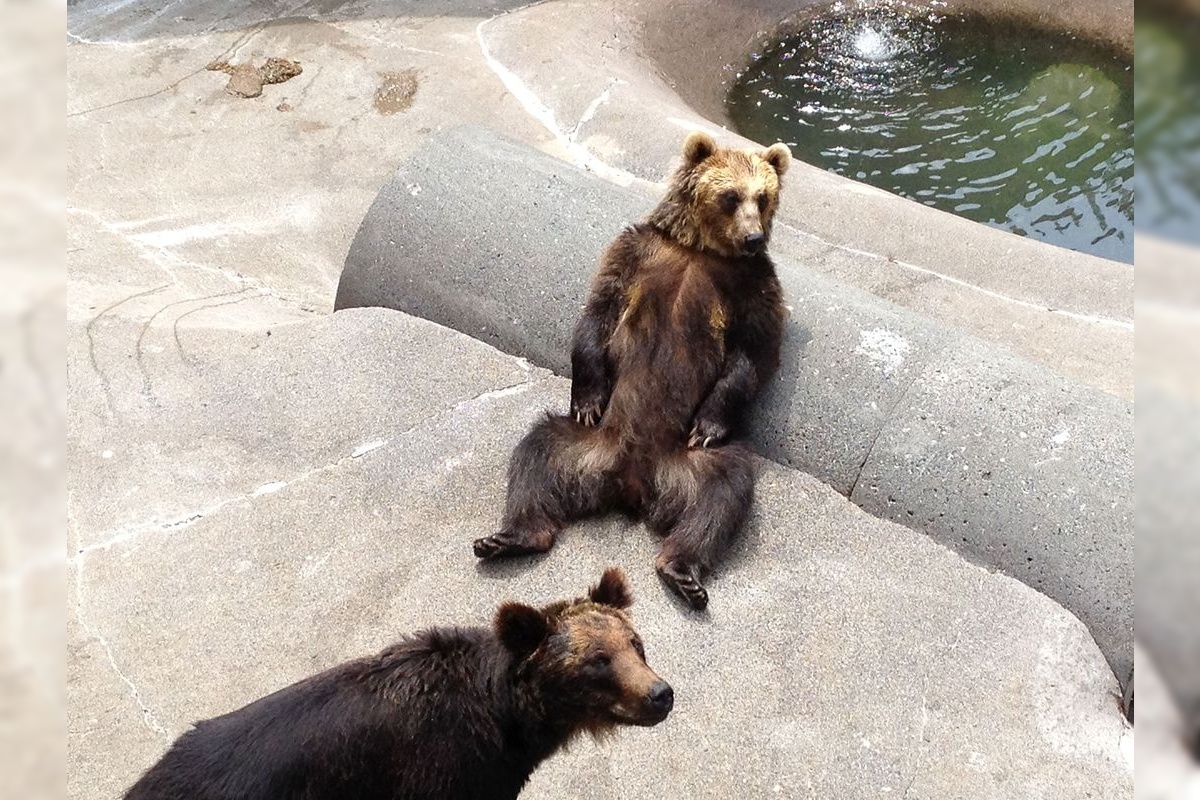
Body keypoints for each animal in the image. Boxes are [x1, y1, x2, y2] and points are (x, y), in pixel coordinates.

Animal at [474, 131, 791, 610]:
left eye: (764, 197)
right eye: (731, 196)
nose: (753, 237)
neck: (698, 250)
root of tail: (631, 483)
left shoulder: (752, 284)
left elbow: (753, 354)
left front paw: (709, 425)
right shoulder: (635, 253)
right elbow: (599, 313)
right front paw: (587, 399)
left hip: (687, 466)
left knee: (722, 491)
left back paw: (682, 570)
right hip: (585, 445)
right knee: (537, 452)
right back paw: (509, 537)